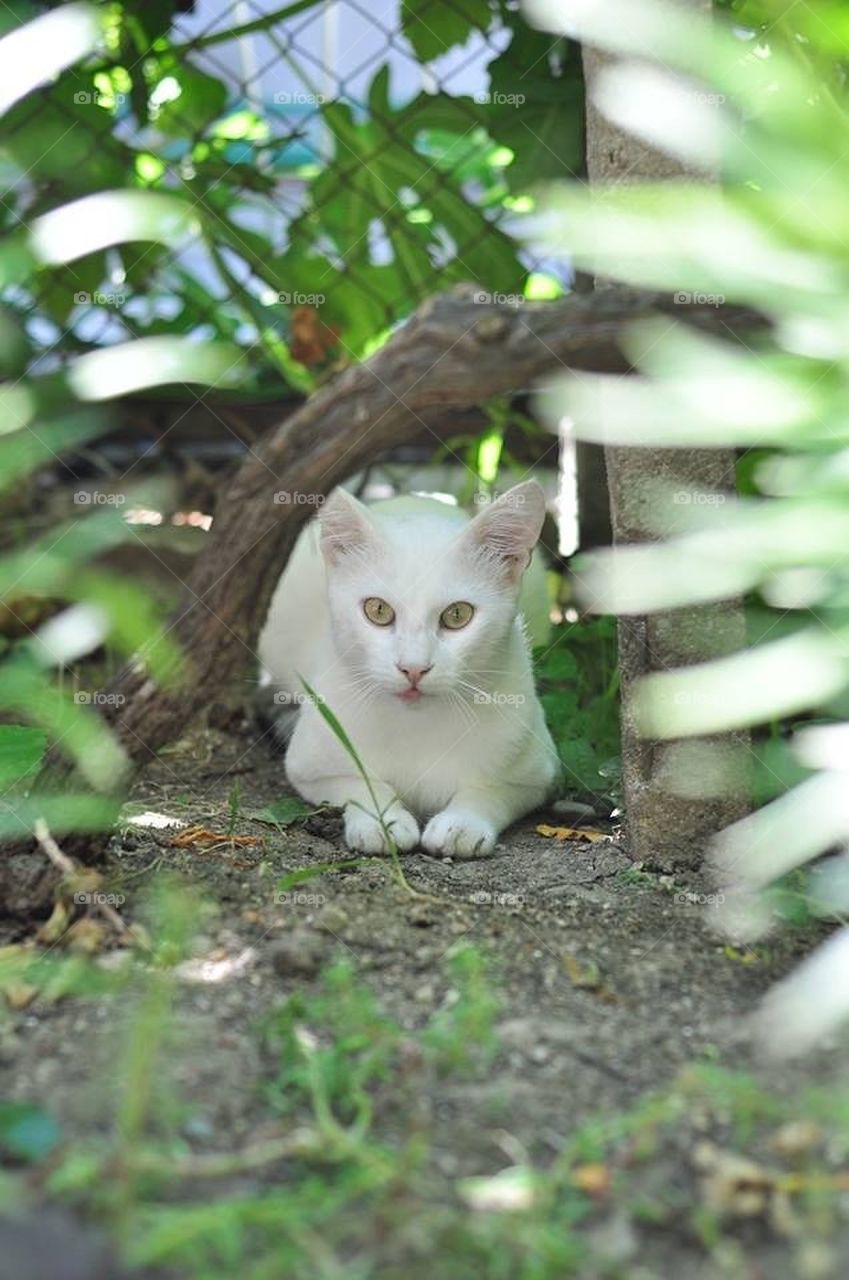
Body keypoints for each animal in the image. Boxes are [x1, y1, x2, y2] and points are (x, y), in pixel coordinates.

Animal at [258, 481, 563, 860]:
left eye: (457, 615)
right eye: (377, 610)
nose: (414, 668)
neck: (417, 724)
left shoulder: (538, 773)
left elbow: (490, 790)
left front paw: (462, 823)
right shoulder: (310, 769)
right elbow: (359, 783)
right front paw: (382, 820)